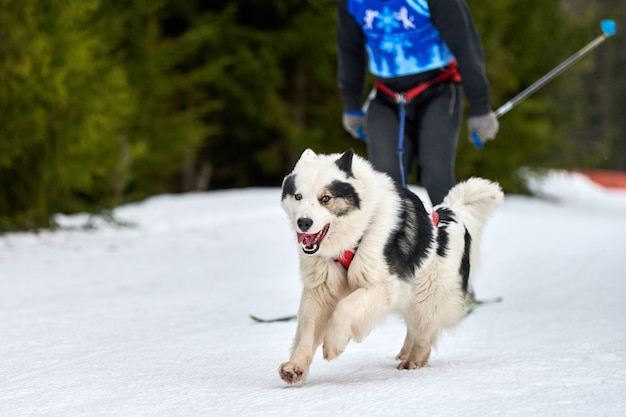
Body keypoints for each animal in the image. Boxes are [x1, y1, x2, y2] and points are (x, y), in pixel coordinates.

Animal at [278, 149, 502, 384]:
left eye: (325, 198)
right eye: (298, 196)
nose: (303, 222)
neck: (356, 233)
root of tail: (453, 214)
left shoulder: (383, 286)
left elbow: (345, 308)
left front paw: (333, 344)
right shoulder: (320, 288)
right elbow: (307, 330)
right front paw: (295, 367)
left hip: (426, 297)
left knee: (424, 335)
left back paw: (413, 362)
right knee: (414, 329)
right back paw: (405, 353)